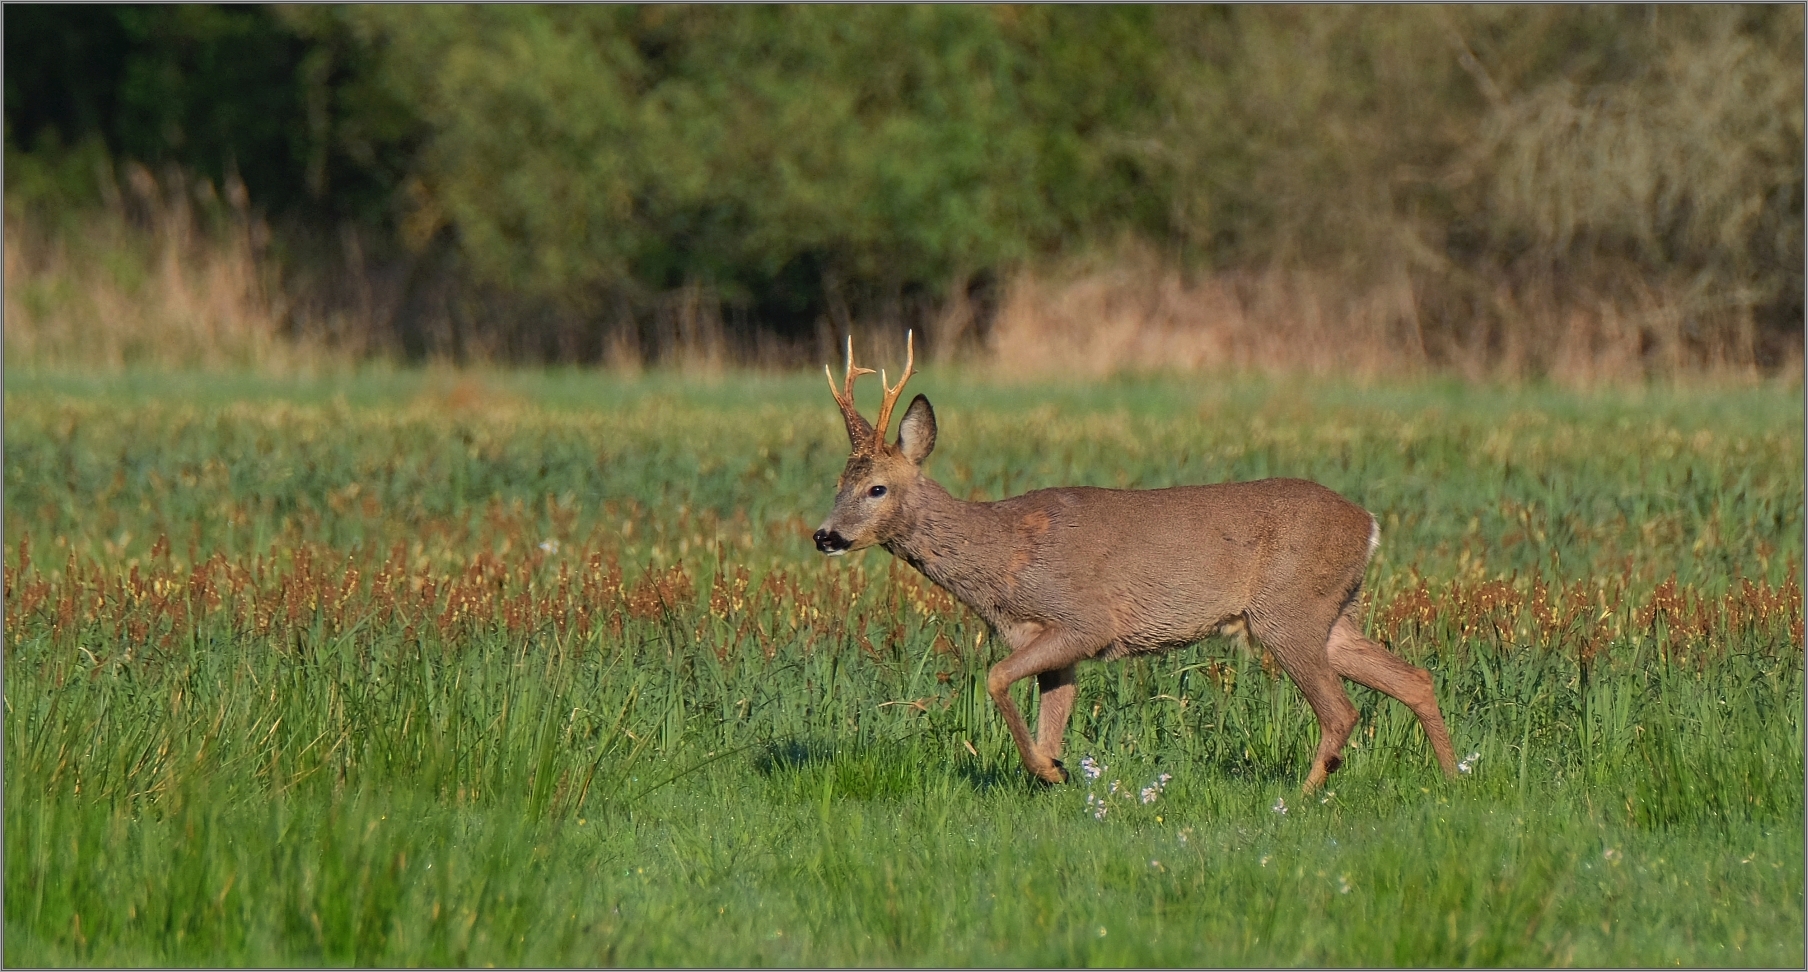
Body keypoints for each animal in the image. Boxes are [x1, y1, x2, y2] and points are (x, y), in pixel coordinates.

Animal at [813, 332, 1460, 787]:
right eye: (839, 483)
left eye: (876, 488)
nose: (825, 535)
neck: (1001, 557)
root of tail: (1370, 524)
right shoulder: (1046, 640)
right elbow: (1051, 716)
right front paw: (1054, 770)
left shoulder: (1084, 617)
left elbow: (995, 677)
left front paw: (1049, 770)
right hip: (1334, 612)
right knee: (1415, 678)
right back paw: (1453, 779)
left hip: (1288, 609)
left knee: (1341, 710)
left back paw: (1301, 796)